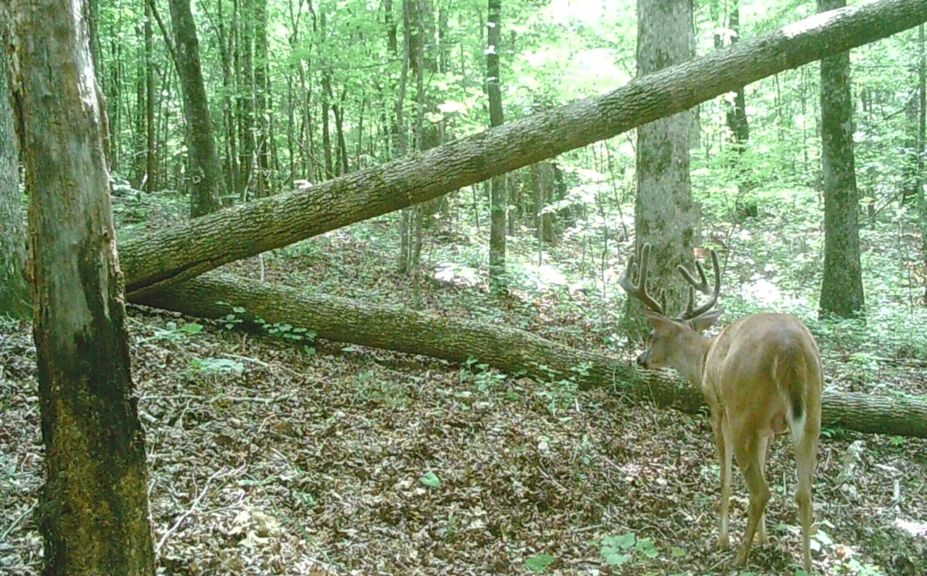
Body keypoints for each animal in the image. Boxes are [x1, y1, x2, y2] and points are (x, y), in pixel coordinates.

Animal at [620, 242, 824, 572]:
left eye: (652, 336)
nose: (641, 359)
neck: (704, 360)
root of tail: (789, 346)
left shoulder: (717, 409)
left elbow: (724, 477)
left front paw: (723, 538)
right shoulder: (766, 427)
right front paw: (764, 538)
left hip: (742, 411)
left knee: (761, 490)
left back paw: (739, 556)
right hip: (812, 412)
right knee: (804, 492)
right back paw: (805, 565)